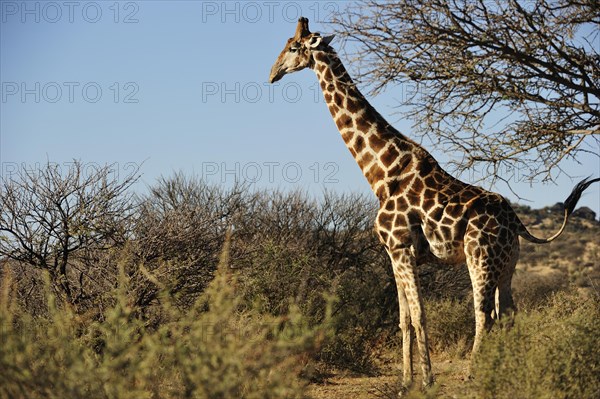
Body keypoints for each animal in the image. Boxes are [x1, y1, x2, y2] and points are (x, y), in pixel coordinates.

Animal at [268, 17, 600, 392]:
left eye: (293, 47)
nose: (272, 74)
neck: (381, 173)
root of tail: (516, 221)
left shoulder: (401, 248)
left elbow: (419, 314)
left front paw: (427, 379)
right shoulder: (393, 253)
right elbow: (403, 318)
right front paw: (404, 381)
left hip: (479, 257)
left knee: (483, 313)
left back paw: (474, 373)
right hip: (508, 263)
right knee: (508, 312)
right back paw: (507, 371)